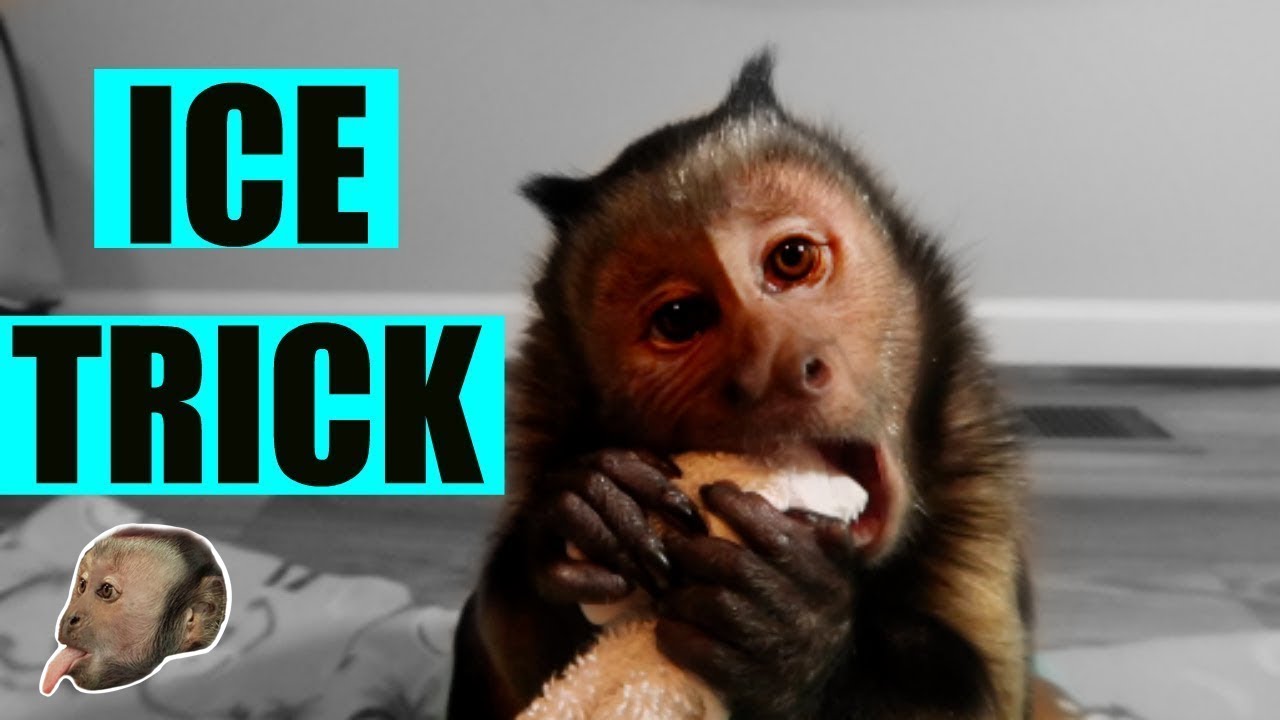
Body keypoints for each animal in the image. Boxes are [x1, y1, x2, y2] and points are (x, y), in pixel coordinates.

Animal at [447, 50, 1035, 719]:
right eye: (680, 319)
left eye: (792, 259)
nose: (774, 369)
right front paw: (583, 512)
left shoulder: (977, 494)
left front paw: (795, 637)